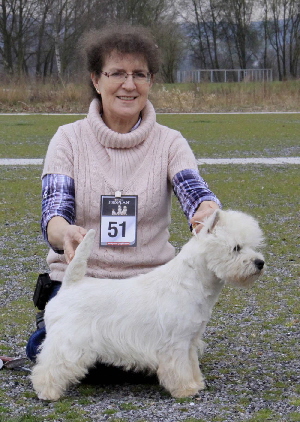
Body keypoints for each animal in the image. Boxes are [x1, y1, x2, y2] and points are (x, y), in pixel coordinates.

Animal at [31, 209, 264, 400]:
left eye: (253, 246)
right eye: (236, 248)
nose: (260, 263)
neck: (192, 281)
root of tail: (71, 284)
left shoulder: (190, 340)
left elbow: (192, 365)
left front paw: (196, 383)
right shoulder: (176, 343)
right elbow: (179, 368)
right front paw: (185, 389)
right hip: (69, 341)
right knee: (51, 365)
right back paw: (47, 392)